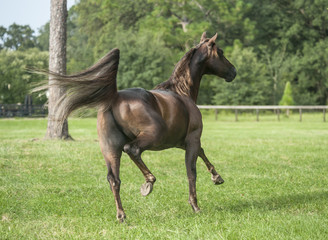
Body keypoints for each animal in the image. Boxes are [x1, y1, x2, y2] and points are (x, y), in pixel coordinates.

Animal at [44, 31, 236, 221]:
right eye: (221, 52)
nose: (233, 71)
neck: (182, 92)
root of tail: (114, 97)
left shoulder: (182, 142)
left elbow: (203, 153)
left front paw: (217, 177)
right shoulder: (192, 139)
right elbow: (192, 171)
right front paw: (195, 206)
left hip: (110, 148)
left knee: (113, 179)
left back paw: (121, 215)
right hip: (152, 136)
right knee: (132, 150)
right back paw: (148, 182)